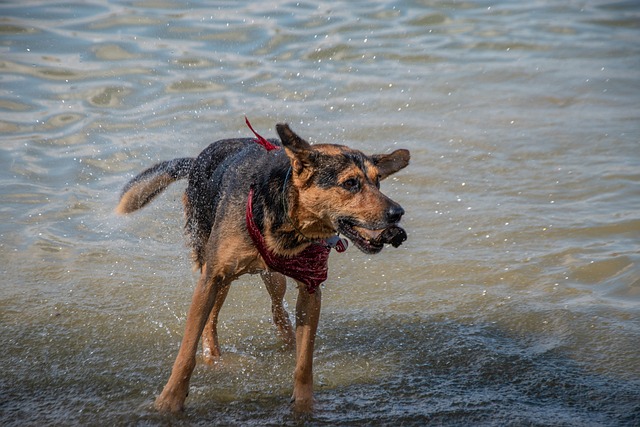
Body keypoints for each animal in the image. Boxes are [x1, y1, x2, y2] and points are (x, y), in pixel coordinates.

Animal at [115, 118, 410, 412]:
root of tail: (196, 161)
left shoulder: (311, 287)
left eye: (378, 182)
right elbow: (187, 351)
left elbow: (304, 362)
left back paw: (287, 341)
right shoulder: (212, 277)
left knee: (277, 309)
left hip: (271, 277)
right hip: (213, 268)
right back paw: (214, 357)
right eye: (350, 183)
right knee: (211, 319)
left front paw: (303, 404)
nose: (398, 213)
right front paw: (169, 399)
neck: (287, 222)